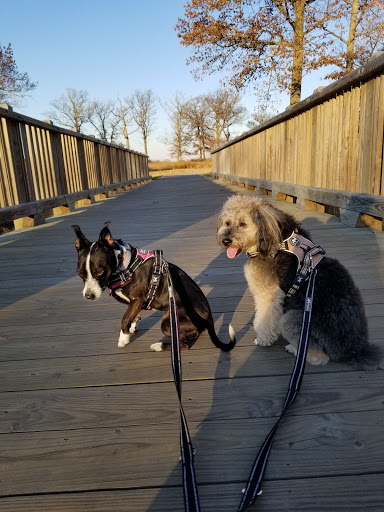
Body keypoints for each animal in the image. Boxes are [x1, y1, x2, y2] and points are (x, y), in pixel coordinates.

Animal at [70, 223, 236, 352]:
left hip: (168, 323)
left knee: (183, 345)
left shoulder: (137, 300)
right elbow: (132, 316)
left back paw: (159, 346)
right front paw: (132, 327)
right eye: (80, 273)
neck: (125, 266)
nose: (88, 296)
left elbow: (124, 318)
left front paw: (123, 338)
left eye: (99, 271)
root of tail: (209, 320)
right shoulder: (135, 304)